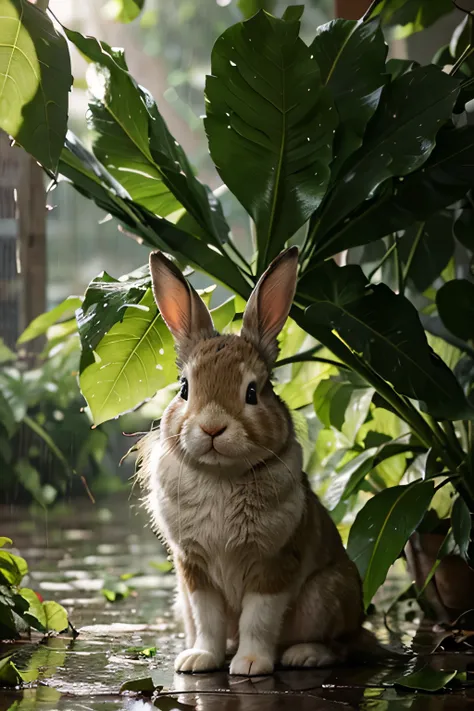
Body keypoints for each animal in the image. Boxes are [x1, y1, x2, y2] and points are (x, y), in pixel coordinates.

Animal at [136, 248, 386, 676]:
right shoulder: (194, 572)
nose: (212, 427)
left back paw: (304, 655)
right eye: (185, 388)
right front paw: (199, 660)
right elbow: (208, 619)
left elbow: (259, 618)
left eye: (253, 392)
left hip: (328, 595)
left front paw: (251, 665)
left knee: (342, 645)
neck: (221, 476)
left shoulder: (273, 567)